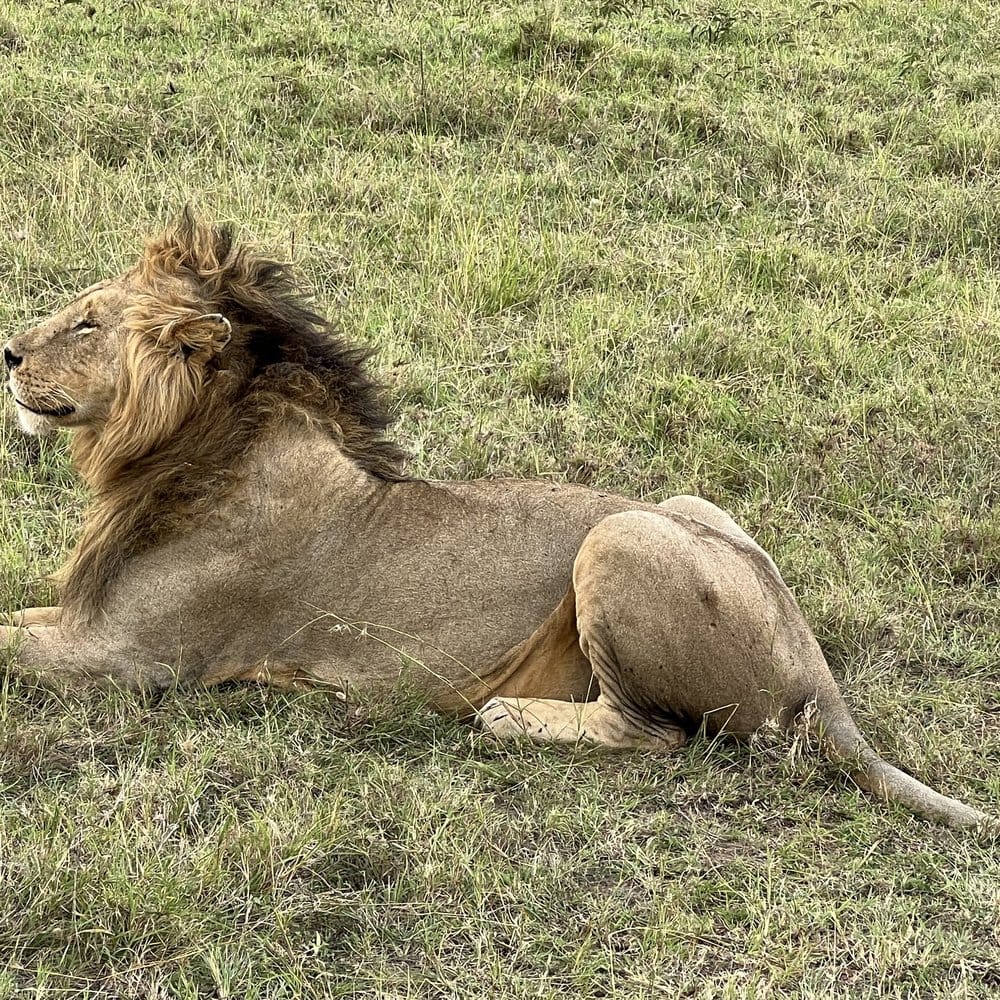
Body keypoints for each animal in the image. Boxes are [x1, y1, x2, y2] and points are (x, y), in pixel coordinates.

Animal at [1, 212, 991, 829]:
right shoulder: (94, 623)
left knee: (658, 736)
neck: (188, 448)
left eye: (88, 323)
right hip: (687, 509)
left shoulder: (132, 657)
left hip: (619, 538)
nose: (7, 352)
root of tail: (813, 663)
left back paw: (510, 716)